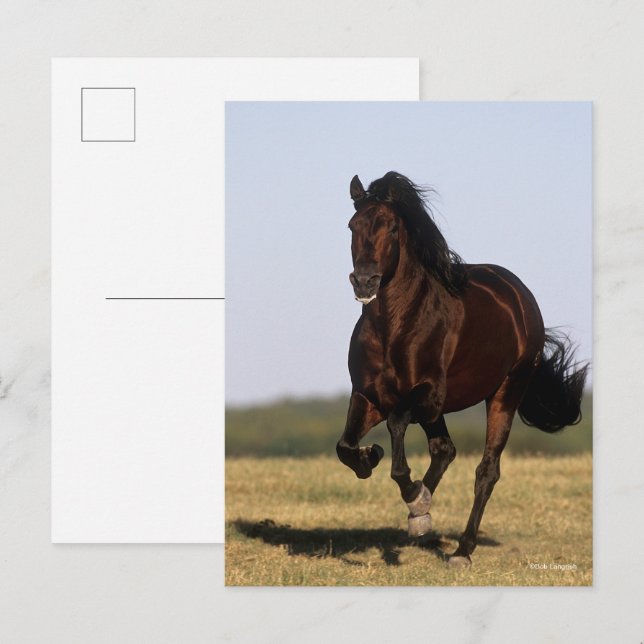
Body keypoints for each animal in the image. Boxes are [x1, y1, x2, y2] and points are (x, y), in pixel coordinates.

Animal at [336, 171, 588, 567]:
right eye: (352, 226)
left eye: (391, 228)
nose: (364, 282)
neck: (394, 326)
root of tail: (520, 296)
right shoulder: (368, 395)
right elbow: (345, 447)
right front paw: (373, 460)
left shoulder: (427, 396)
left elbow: (396, 428)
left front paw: (411, 493)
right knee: (445, 449)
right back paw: (420, 517)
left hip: (505, 392)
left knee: (486, 470)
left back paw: (461, 550)